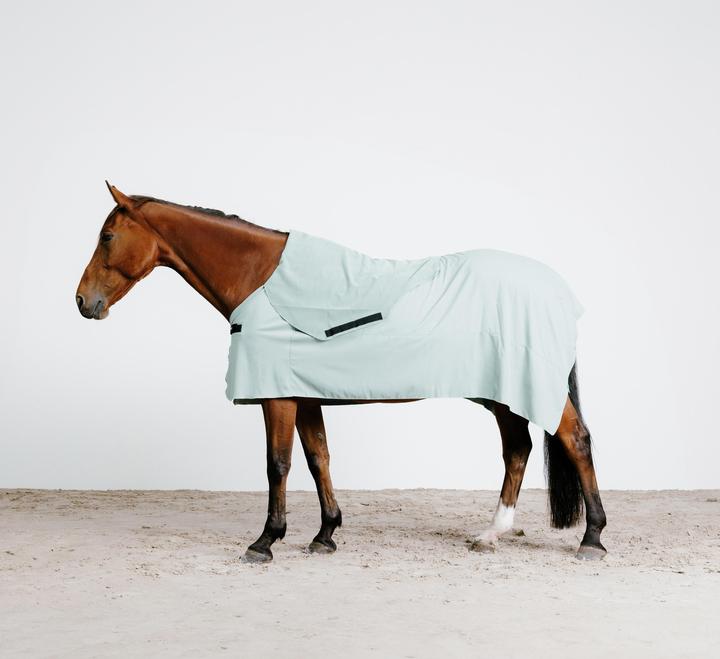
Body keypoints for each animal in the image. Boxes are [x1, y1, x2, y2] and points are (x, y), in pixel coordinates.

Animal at [76, 182, 607, 562]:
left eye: (106, 237)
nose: (83, 302)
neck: (262, 279)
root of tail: (558, 289)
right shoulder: (303, 395)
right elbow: (319, 459)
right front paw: (325, 534)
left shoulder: (277, 398)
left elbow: (278, 464)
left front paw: (265, 541)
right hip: (500, 394)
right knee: (518, 449)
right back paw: (491, 534)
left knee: (574, 439)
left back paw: (593, 538)